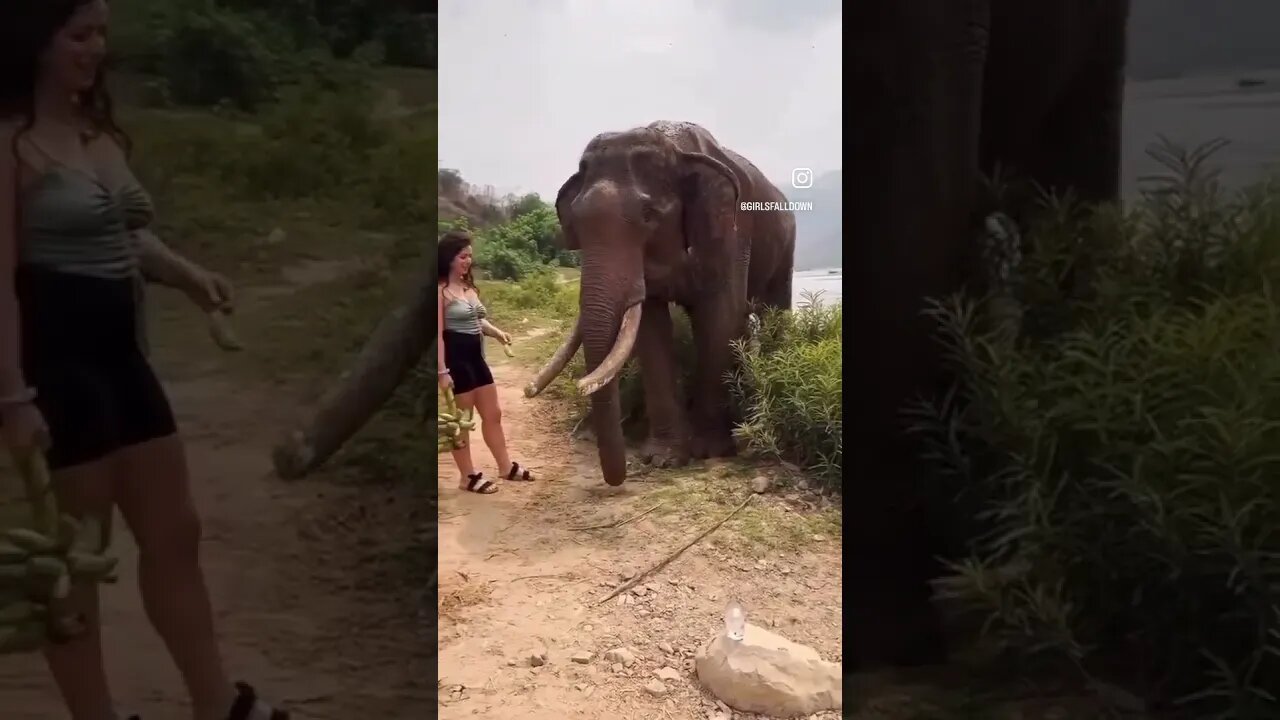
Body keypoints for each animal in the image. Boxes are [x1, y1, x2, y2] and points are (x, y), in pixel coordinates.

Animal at [519, 120, 788, 484]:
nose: (527, 390)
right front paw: (663, 460)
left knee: (773, 308)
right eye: (577, 221)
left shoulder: (730, 230)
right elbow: (649, 326)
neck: (672, 147)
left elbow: (720, 316)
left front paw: (709, 453)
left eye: (649, 215)